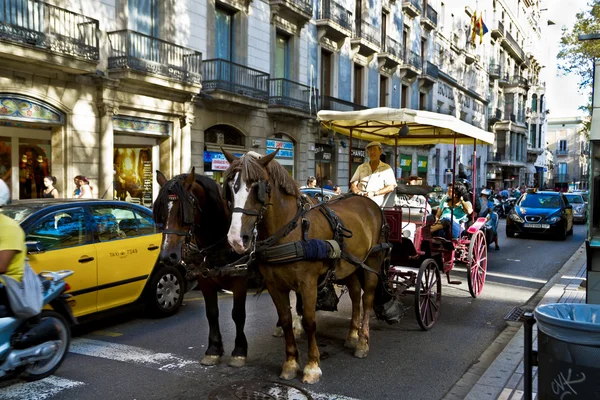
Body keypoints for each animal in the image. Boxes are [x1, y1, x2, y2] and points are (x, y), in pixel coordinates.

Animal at [155, 167, 251, 368]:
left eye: (184, 210)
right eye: (162, 210)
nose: (167, 256)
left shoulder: (240, 278)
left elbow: (238, 314)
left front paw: (239, 351)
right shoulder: (205, 279)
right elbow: (212, 313)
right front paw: (213, 350)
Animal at [224, 150, 390, 384]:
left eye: (258, 188)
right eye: (230, 188)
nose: (236, 239)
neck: (289, 231)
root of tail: (368, 202)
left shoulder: (308, 283)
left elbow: (311, 321)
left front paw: (312, 367)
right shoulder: (274, 285)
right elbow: (285, 321)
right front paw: (290, 363)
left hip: (372, 261)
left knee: (367, 298)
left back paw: (362, 342)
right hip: (349, 265)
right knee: (356, 295)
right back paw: (352, 335)